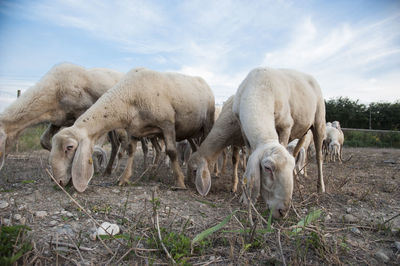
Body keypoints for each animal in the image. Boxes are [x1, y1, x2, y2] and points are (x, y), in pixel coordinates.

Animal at [49, 66, 216, 191]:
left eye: (69, 147)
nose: (59, 182)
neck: (129, 94)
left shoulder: (167, 123)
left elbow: (172, 152)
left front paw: (180, 182)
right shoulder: (135, 129)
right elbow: (130, 151)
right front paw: (123, 178)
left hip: (207, 123)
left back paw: (212, 174)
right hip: (191, 132)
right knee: (196, 149)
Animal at [233, 67, 326, 219]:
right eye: (267, 168)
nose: (283, 211)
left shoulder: (285, 125)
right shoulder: (243, 129)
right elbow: (249, 156)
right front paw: (245, 197)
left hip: (319, 122)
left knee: (319, 157)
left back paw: (320, 187)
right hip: (303, 132)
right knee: (296, 151)